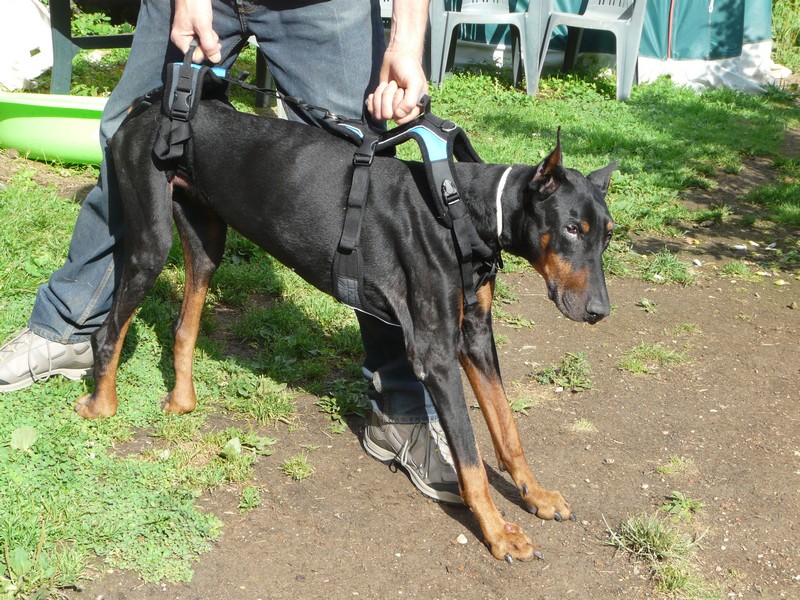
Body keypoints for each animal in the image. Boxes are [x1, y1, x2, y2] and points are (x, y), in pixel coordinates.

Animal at [75, 97, 616, 564]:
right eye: (572, 229)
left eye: (607, 235)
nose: (599, 311)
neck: (461, 208)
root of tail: (151, 108)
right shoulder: (437, 353)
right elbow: (470, 458)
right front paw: (500, 532)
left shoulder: (476, 338)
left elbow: (507, 429)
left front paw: (536, 494)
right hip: (150, 239)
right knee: (107, 330)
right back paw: (101, 407)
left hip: (207, 240)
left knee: (184, 324)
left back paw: (182, 399)